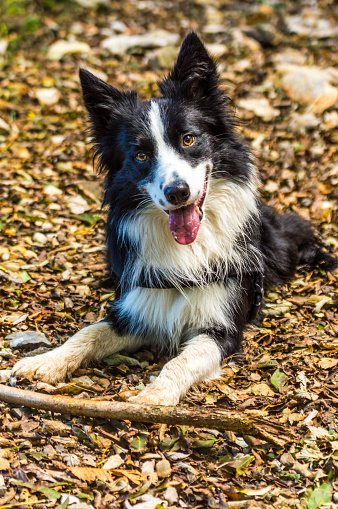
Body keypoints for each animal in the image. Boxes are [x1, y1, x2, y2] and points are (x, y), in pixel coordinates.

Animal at [11, 31, 336, 404]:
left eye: (188, 138)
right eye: (140, 155)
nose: (177, 192)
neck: (188, 249)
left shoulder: (221, 327)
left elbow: (182, 360)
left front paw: (153, 397)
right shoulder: (137, 308)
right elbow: (89, 332)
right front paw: (45, 361)